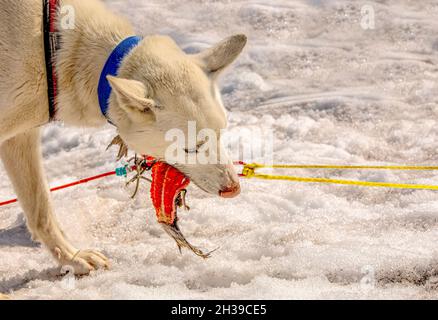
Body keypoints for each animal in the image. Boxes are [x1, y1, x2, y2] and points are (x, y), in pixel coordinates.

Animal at [0, 0, 246, 276]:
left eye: (221, 132)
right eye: (190, 148)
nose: (234, 189)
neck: (54, 49)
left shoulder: (21, 137)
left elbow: (41, 210)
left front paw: (73, 257)